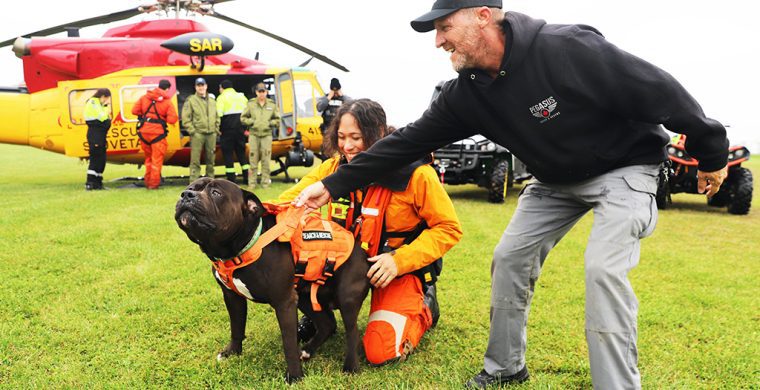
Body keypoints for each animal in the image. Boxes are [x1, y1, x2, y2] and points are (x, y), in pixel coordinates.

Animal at [175, 178, 372, 382]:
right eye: (190, 188)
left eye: (216, 193)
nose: (186, 194)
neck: (241, 247)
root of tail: (363, 252)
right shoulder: (232, 297)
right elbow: (236, 328)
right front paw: (232, 353)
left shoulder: (283, 302)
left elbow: (289, 343)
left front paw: (294, 376)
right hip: (304, 297)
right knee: (327, 324)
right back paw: (307, 350)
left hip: (347, 298)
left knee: (352, 333)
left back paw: (350, 367)